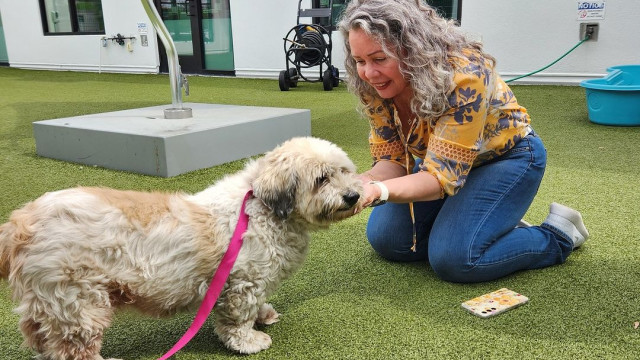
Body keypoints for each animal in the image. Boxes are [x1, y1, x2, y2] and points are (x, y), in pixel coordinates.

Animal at [0, 136, 360, 358]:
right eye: (322, 179)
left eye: (345, 171)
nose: (354, 196)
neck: (260, 206)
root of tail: (19, 223)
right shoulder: (242, 282)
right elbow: (238, 320)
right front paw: (249, 341)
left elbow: (258, 305)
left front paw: (264, 314)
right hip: (78, 302)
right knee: (74, 348)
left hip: (49, 301)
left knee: (40, 336)